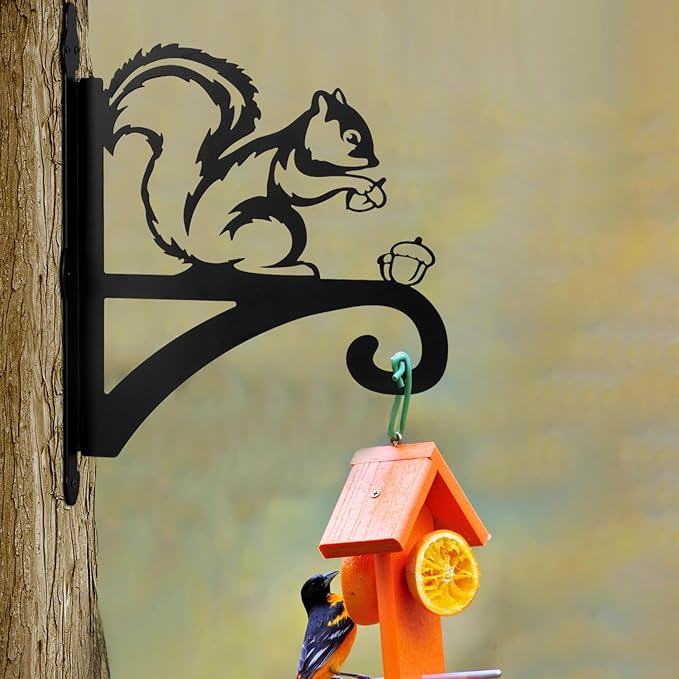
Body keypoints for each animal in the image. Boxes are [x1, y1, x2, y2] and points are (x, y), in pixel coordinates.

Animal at [105, 45, 387, 276]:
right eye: (351, 137)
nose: (374, 161)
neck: (305, 143)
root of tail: (197, 249)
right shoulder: (286, 164)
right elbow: (305, 187)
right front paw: (361, 183)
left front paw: (370, 190)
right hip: (267, 227)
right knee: (242, 264)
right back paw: (294, 270)